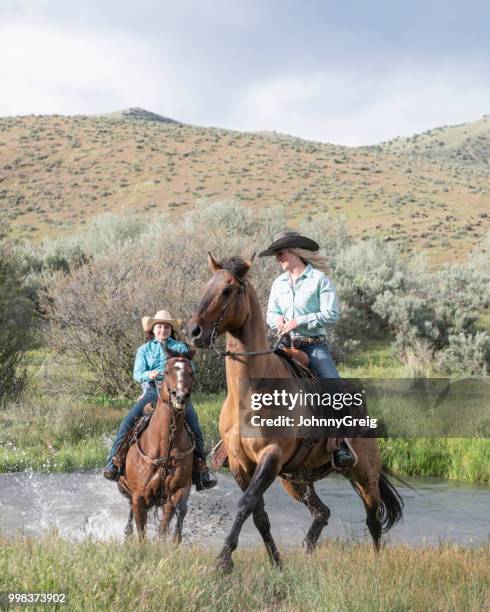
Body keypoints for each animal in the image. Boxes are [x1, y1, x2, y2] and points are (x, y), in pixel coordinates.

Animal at [117, 356, 195, 544]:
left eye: (192, 372)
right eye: (166, 372)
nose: (180, 396)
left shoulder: (179, 490)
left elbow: (175, 515)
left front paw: (173, 541)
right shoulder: (139, 497)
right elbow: (141, 530)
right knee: (131, 511)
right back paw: (127, 533)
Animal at [186, 253, 404, 572]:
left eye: (228, 289)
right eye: (206, 286)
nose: (194, 332)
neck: (248, 394)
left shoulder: (271, 456)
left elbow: (245, 504)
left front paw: (223, 559)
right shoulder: (240, 464)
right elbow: (259, 515)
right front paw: (276, 562)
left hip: (364, 472)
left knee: (373, 518)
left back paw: (375, 564)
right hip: (296, 479)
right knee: (322, 512)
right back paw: (307, 548)